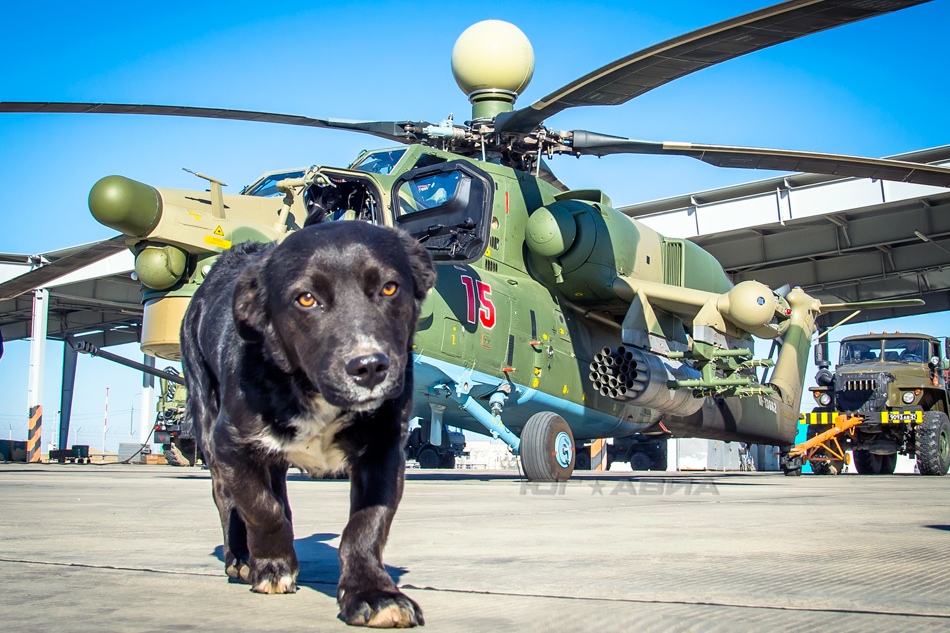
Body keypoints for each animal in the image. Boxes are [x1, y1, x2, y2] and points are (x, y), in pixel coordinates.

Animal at [180, 220, 436, 624]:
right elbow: (259, 508)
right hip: (206, 419)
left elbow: (366, 526)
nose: (369, 368)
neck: (311, 391)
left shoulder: (384, 451)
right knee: (226, 497)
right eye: (306, 299)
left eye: (389, 288)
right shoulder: (231, 444)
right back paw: (241, 557)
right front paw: (273, 565)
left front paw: (373, 593)